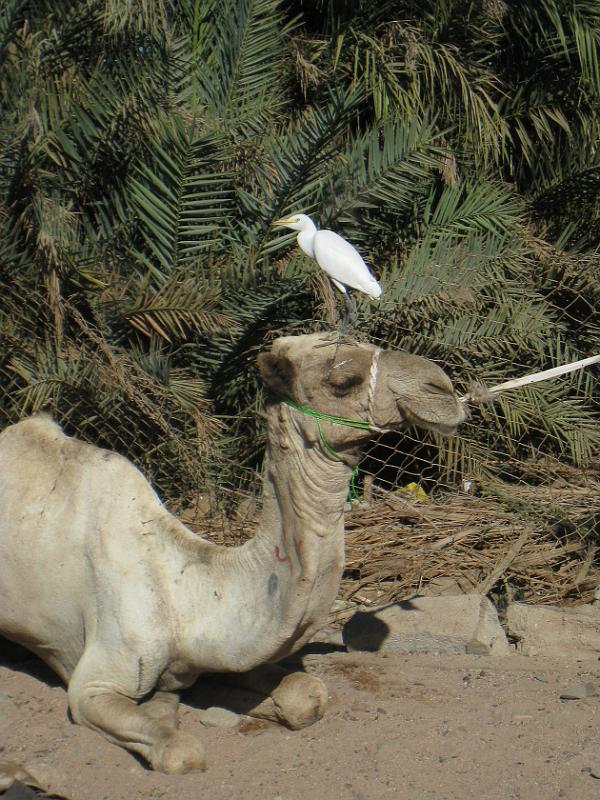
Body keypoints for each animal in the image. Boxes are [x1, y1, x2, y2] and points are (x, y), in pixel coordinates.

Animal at [0, 332, 466, 776]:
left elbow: (307, 695)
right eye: (341, 379)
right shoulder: (93, 683)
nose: (442, 387)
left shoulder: (227, 651)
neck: (189, 595)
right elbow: (181, 751)